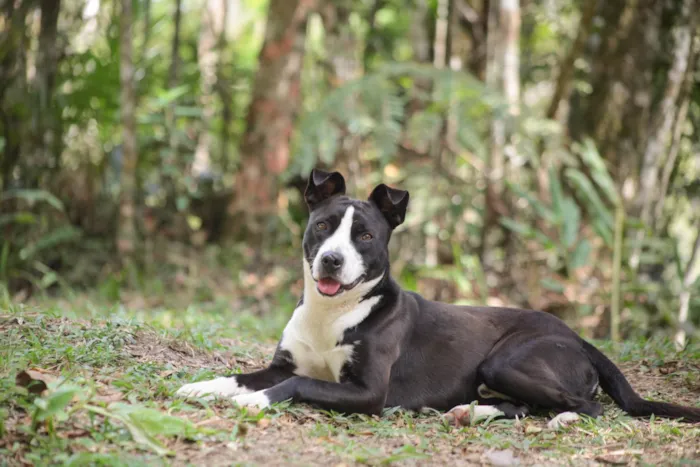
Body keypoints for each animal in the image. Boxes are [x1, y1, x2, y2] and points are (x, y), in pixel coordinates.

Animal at [178, 169, 700, 428]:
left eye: (365, 236)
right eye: (323, 226)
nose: (331, 260)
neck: (335, 311)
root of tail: (579, 338)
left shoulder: (368, 393)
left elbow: (295, 385)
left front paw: (256, 401)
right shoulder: (284, 362)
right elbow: (249, 374)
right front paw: (204, 387)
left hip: (506, 361)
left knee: (586, 407)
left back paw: (567, 418)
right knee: (521, 406)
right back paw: (470, 411)